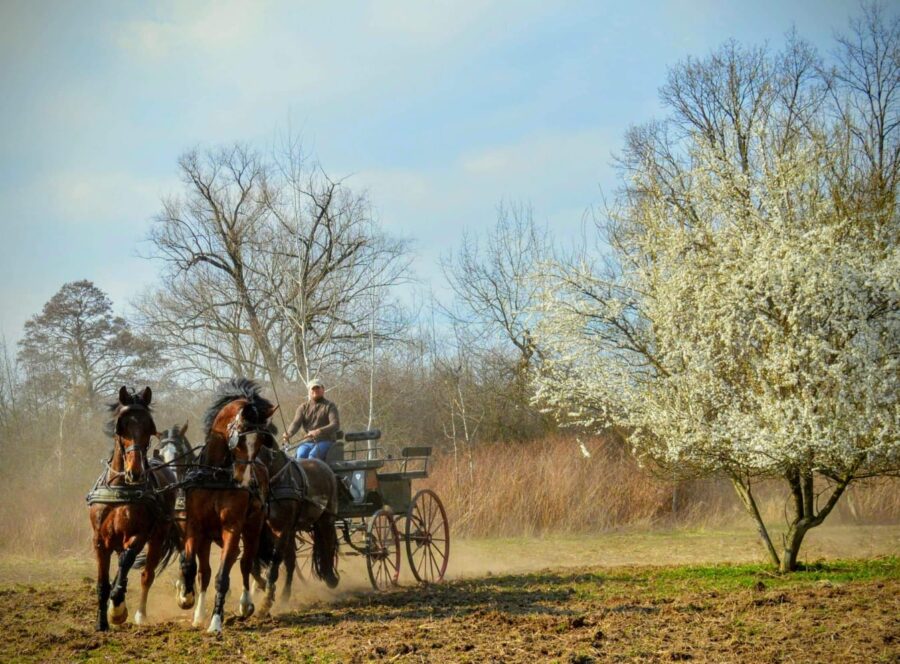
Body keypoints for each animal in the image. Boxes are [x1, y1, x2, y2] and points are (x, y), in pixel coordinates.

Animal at [86, 386, 179, 632]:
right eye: (122, 425)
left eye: (149, 427)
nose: (135, 472)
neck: (120, 489)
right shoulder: (99, 540)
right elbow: (102, 582)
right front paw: (101, 622)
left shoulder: (137, 536)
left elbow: (127, 563)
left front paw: (117, 609)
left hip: (158, 537)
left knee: (146, 574)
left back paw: (139, 614)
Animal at [175, 378, 274, 632]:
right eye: (239, 439)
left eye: (261, 441)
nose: (245, 480)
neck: (215, 475)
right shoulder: (196, 525)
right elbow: (191, 565)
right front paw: (186, 598)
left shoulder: (232, 526)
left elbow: (223, 576)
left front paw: (216, 622)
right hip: (208, 537)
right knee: (205, 572)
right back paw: (198, 614)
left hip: (252, 528)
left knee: (245, 563)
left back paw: (245, 605)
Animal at [255, 436, 340, 616]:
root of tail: (326, 468)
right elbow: (256, 564)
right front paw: (264, 588)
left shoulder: (282, 529)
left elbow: (274, 563)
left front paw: (266, 602)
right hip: (295, 530)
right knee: (291, 562)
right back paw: (285, 595)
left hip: (326, 520)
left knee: (327, 545)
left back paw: (331, 578)